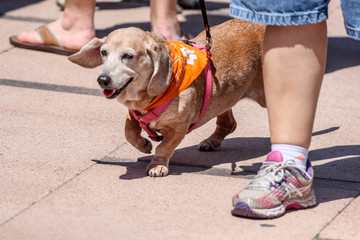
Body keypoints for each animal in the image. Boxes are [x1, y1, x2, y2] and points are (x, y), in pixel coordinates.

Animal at [70, 19, 266, 176]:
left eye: (127, 56)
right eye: (103, 53)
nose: (103, 80)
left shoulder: (178, 127)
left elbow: (164, 147)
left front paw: (157, 165)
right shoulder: (133, 115)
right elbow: (129, 132)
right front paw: (143, 144)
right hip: (225, 97)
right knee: (228, 123)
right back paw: (212, 141)